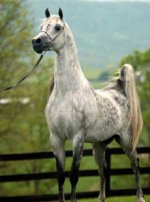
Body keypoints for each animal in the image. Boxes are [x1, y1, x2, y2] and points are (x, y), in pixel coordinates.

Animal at [32, 8, 145, 202]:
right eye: (42, 27)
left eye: (57, 27)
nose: (36, 41)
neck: (66, 93)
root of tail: (121, 93)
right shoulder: (56, 138)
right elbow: (60, 177)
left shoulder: (77, 138)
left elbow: (73, 176)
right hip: (99, 146)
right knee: (103, 170)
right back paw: (101, 198)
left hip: (126, 141)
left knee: (135, 164)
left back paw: (140, 197)